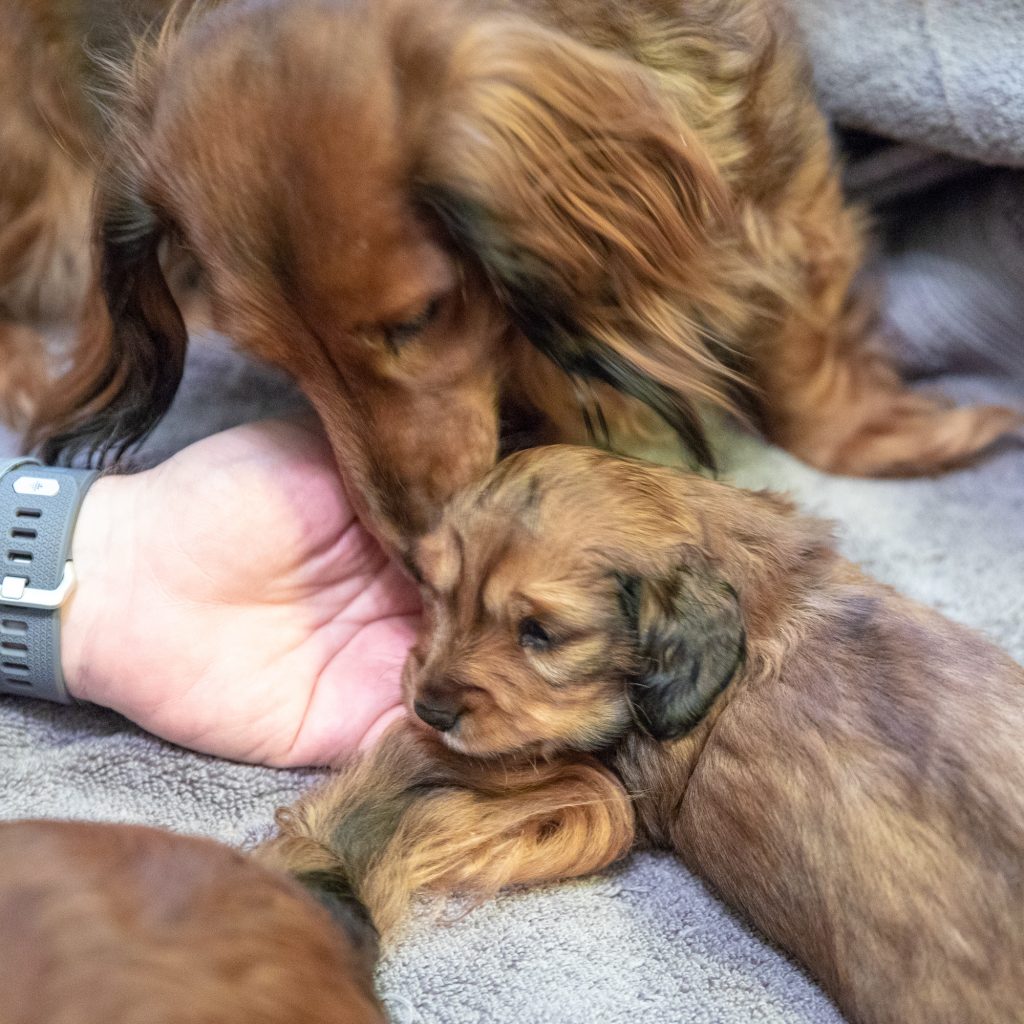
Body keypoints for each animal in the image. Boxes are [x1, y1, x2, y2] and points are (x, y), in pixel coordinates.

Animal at [19, 0, 1019, 544]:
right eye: (278, 360)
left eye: (417, 319)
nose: (415, 541)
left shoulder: (776, 156)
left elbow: (803, 348)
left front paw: (885, 433)